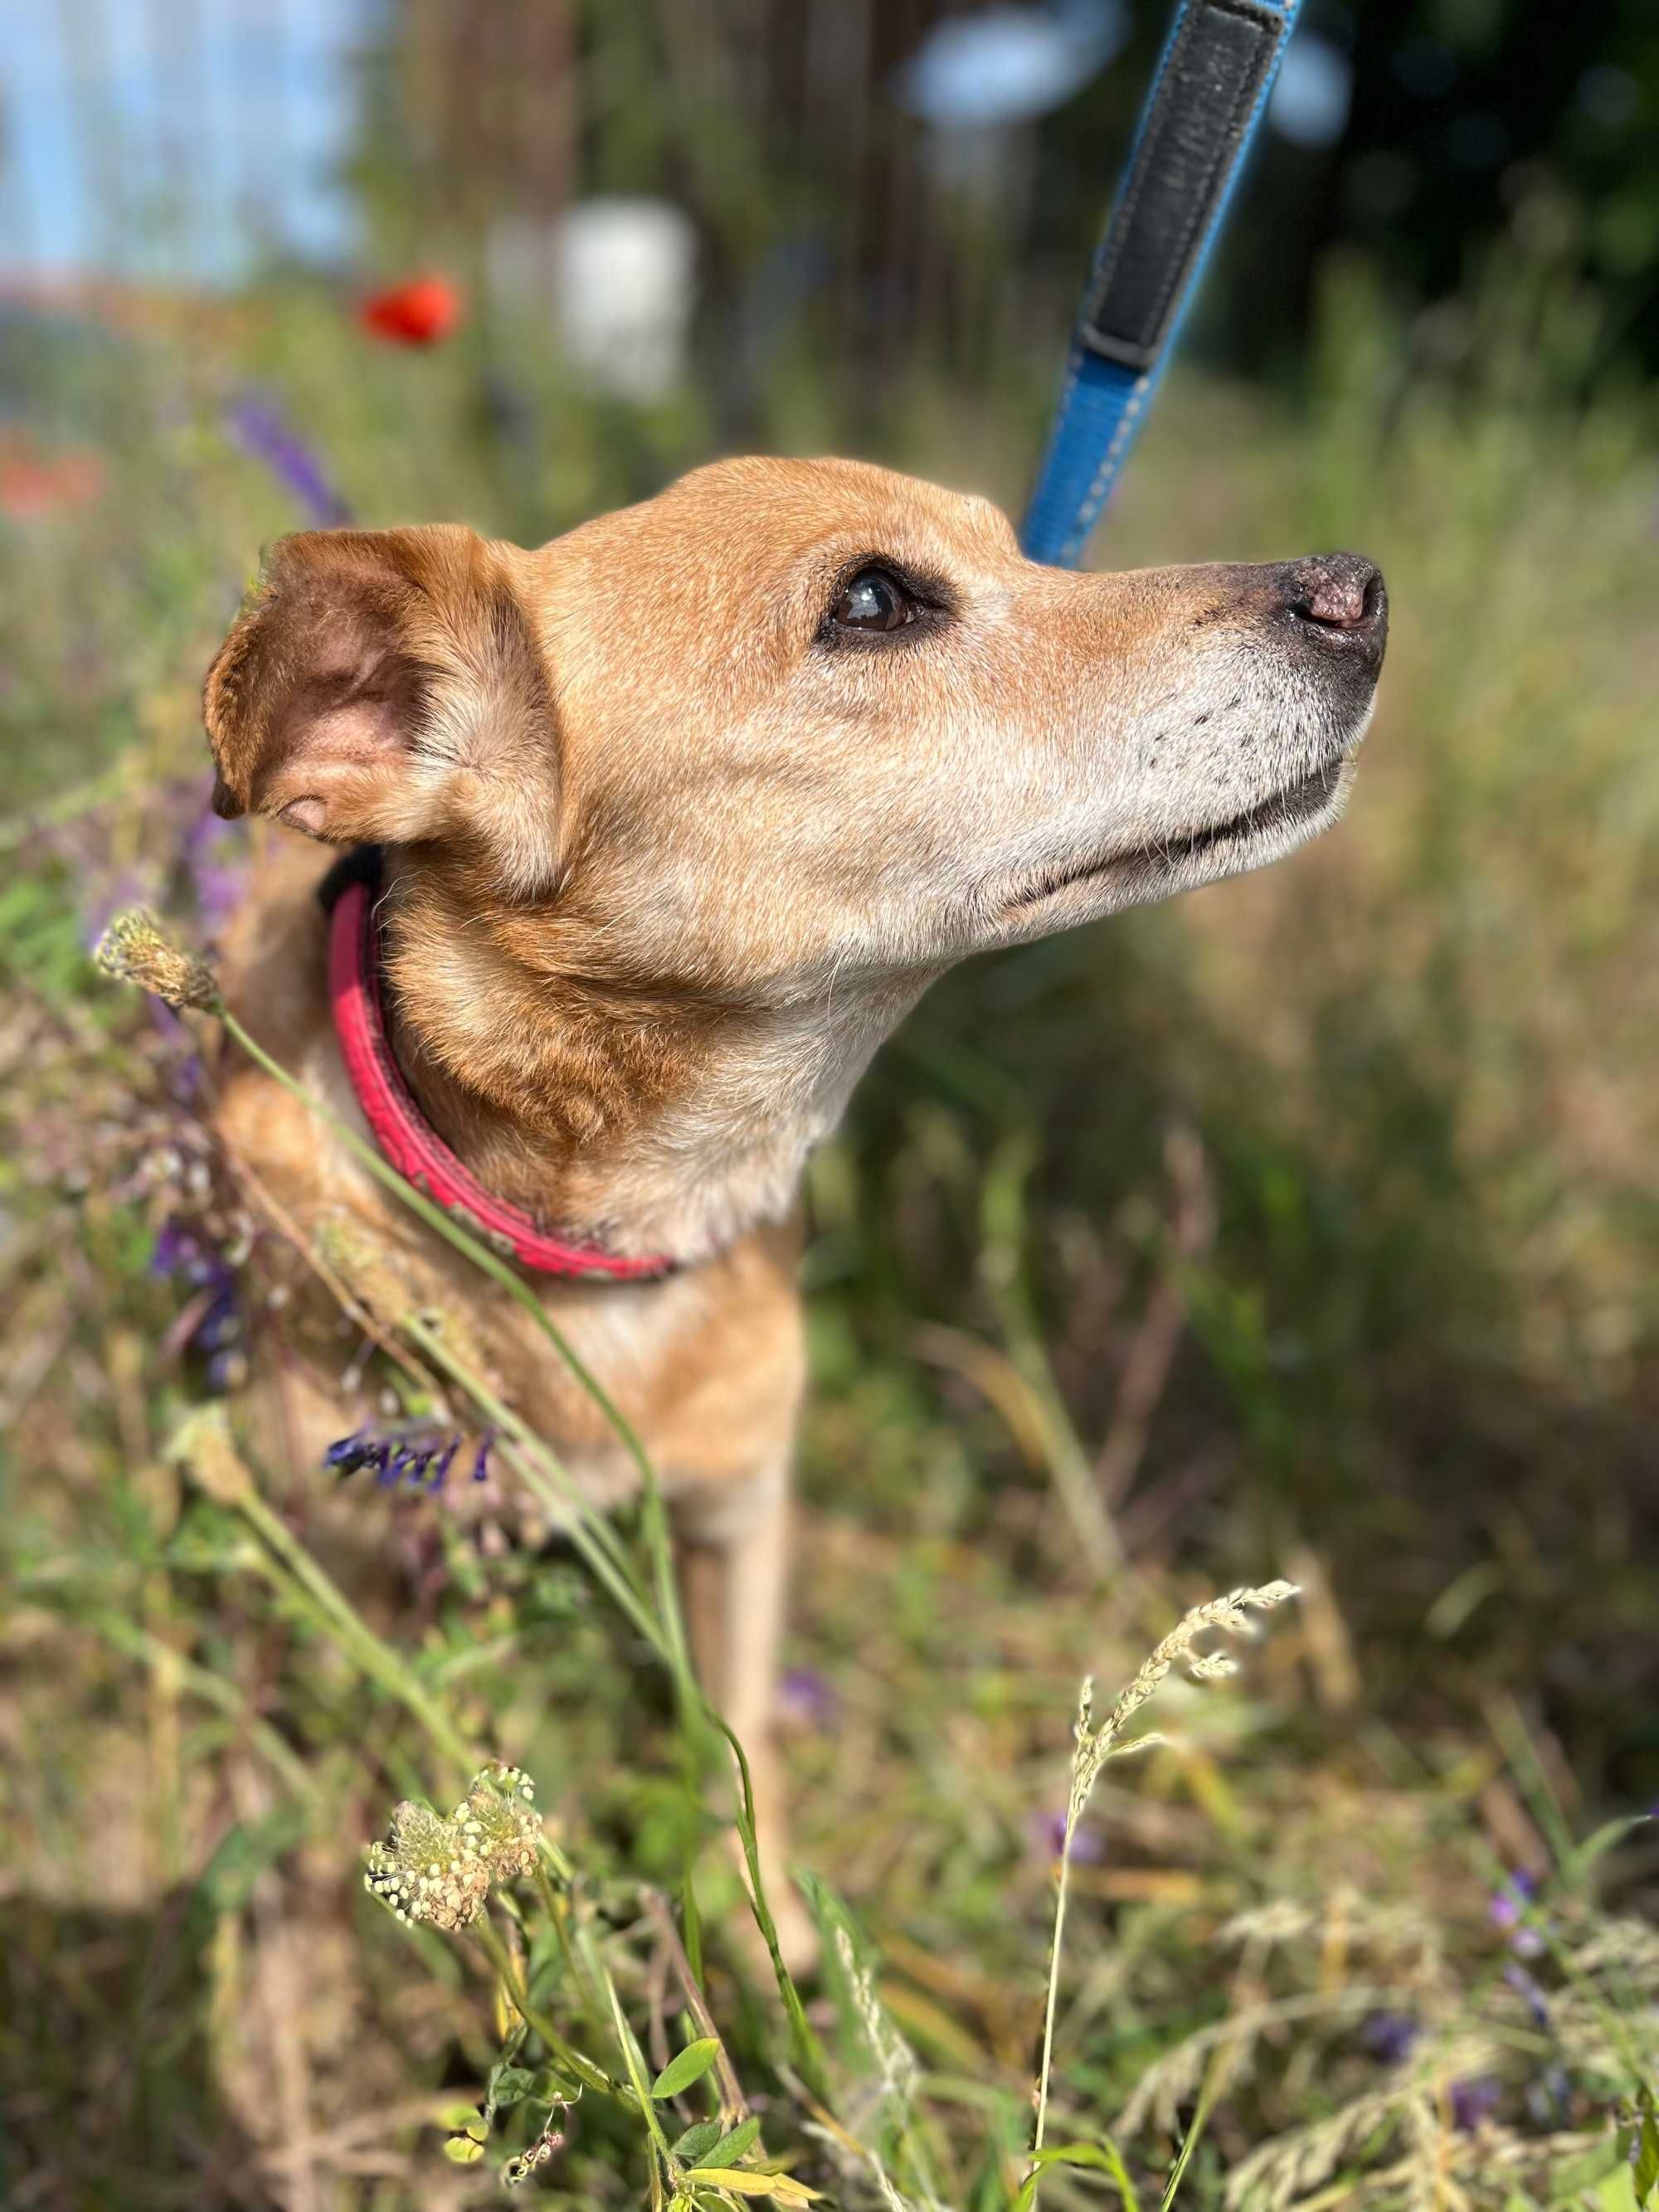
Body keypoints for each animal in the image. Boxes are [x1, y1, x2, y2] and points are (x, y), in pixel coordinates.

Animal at [197, 458, 1389, 1964]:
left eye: (1020, 545)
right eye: (872, 601)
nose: (1358, 588)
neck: (602, 1231)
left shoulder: (742, 1514)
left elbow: (739, 1744)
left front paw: (763, 1933)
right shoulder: (334, 1567)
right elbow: (312, 1811)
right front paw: (287, 1969)